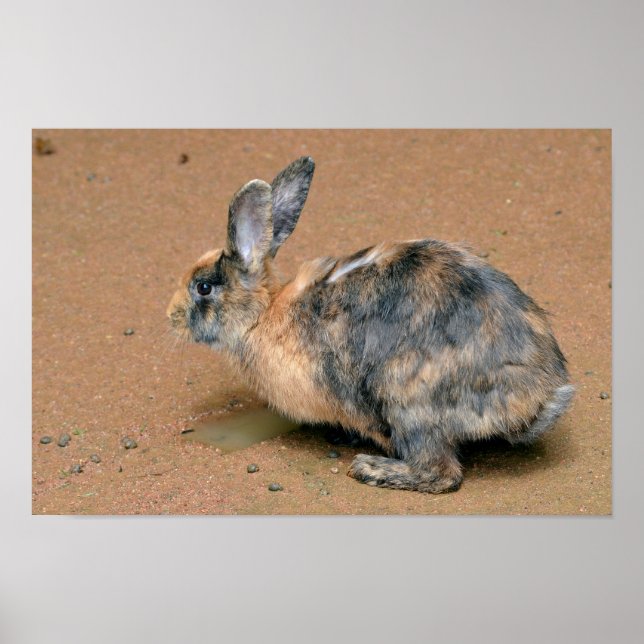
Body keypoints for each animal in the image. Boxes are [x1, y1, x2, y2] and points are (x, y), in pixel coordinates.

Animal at [167, 156, 574, 494]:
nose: (170, 316)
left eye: (202, 287)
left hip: (405, 400)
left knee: (441, 473)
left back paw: (371, 468)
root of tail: (535, 397)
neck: (262, 315)